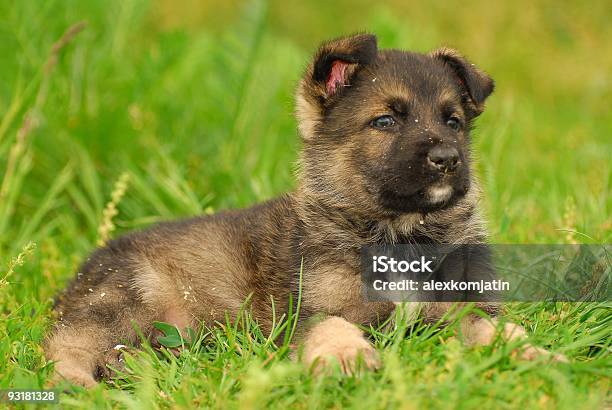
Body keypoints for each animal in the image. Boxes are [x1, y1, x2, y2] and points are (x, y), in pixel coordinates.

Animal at [46, 33, 564, 386]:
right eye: (385, 121)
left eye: (453, 121)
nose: (447, 159)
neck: (397, 233)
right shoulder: (304, 312)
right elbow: (332, 324)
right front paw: (348, 358)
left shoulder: (466, 305)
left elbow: (498, 329)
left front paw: (537, 356)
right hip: (128, 295)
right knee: (61, 344)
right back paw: (76, 383)